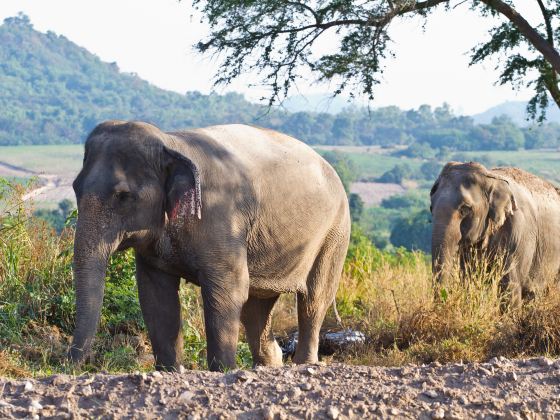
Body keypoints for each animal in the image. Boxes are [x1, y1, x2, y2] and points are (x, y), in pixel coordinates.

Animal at [69, 120, 350, 370]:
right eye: (75, 187)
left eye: (123, 196)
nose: (73, 366)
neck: (170, 142)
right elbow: (155, 294)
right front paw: (170, 371)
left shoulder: (222, 218)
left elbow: (228, 288)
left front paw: (223, 370)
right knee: (256, 308)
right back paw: (268, 366)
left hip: (334, 233)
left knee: (314, 299)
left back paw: (304, 364)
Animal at [430, 161, 560, 306]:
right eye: (431, 208)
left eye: (465, 209)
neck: (491, 178)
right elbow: (470, 279)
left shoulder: (518, 230)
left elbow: (509, 286)